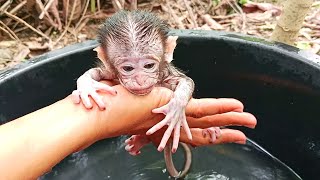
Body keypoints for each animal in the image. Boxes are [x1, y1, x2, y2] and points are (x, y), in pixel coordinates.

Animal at [71, 9, 220, 177]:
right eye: (128, 68)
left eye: (148, 65)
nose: (140, 79)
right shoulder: (110, 72)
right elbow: (95, 73)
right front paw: (86, 86)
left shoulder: (164, 71)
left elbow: (186, 81)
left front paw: (175, 109)